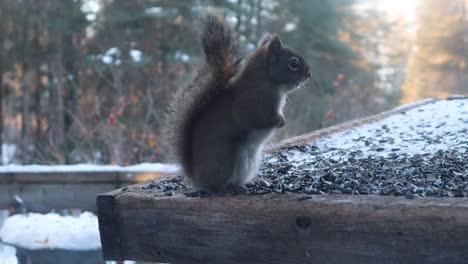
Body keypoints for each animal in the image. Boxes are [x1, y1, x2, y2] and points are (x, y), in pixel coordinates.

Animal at [165, 11, 310, 193]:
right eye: (293, 63)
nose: (309, 74)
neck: (268, 81)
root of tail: (197, 177)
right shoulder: (251, 101)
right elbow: (252, 118)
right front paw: (279, 121)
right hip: (228, 156)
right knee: (217, 186)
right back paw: (230, 188)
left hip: (249, 162)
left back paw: (250, 184)